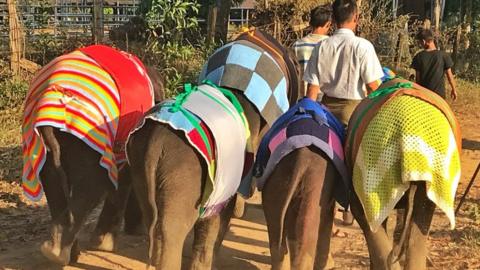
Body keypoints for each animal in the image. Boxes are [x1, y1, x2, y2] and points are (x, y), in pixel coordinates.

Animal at [21, 44, 164, 266]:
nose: (137, 231)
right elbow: (123, 175)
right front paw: (104, 245)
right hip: (86, 134)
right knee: (95, 183)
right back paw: (60, 252)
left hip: (46, 143)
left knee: (53, 179)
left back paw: (61, 252)